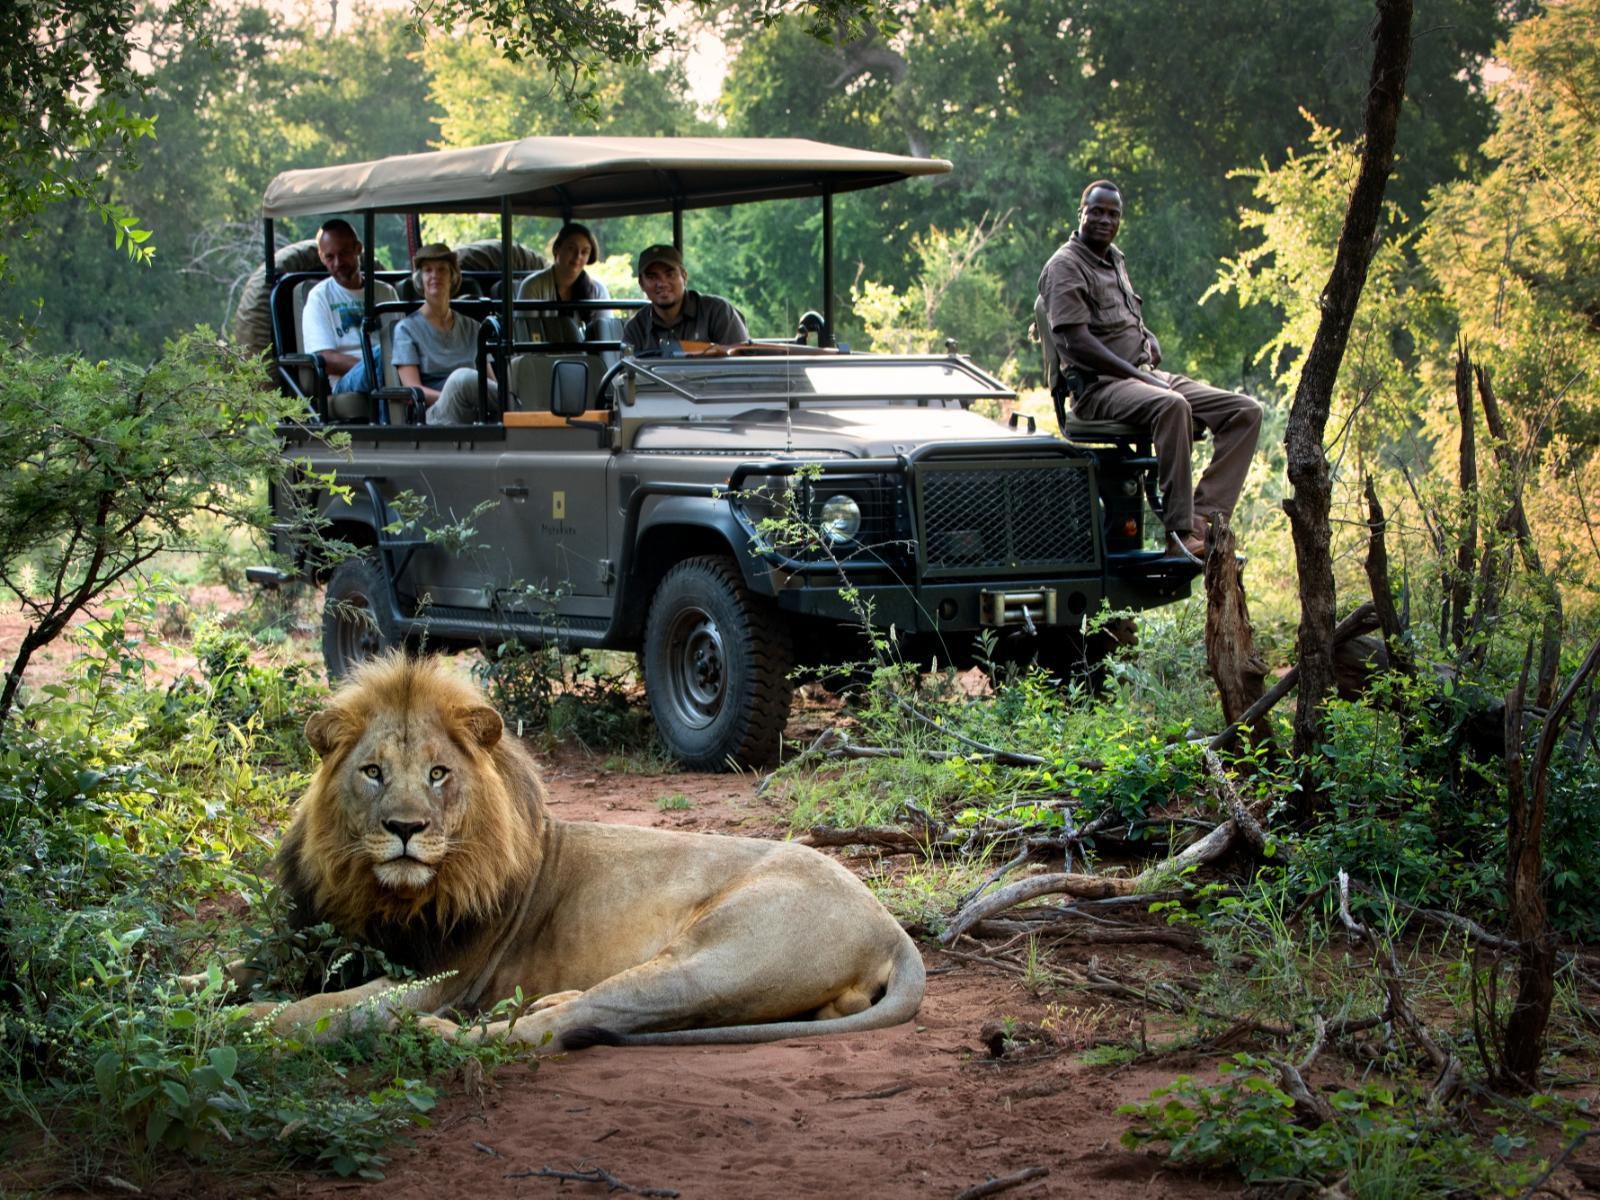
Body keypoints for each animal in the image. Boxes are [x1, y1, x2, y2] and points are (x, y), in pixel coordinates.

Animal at [209, 652, 928, 1056]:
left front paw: (234, 1025)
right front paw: (190, 990)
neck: (381, 893)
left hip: (714, 961)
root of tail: (892, 927)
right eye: (373, 773)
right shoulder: (321, 940)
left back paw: (452, 1035)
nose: (405, 828)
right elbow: (229, 971)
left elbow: (310, 1011)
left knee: (561, 1028)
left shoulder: (436, 980)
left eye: (439, 774)